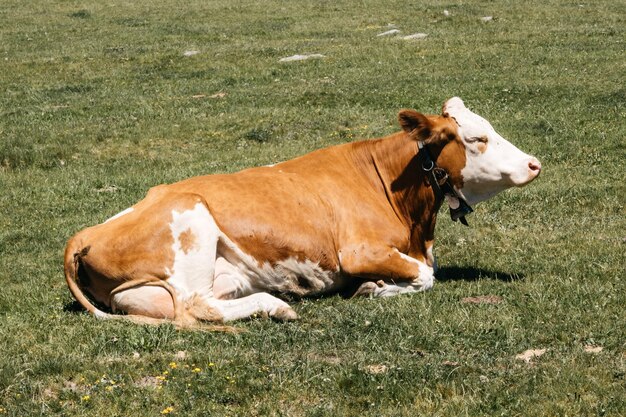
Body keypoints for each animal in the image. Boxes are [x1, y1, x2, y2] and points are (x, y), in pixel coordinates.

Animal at [64, 96, 540, 324]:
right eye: (477, 138)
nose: (535, 163)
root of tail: (85, 233)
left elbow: (426, 271)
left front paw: (377, 287)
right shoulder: (358, 252)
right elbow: (425, 275)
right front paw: (376, 289)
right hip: (191, 219)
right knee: (199, 307)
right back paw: (277, 306)